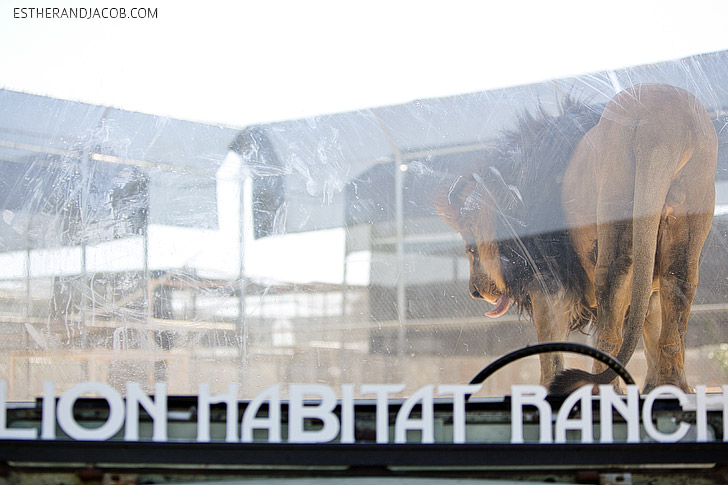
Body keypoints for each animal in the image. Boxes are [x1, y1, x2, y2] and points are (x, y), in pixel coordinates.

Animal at [437, 84, 717, 393]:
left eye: (471, 250)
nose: (475, 292)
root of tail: (662, 125)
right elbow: (653, 329)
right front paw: (654, 386)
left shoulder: (547, 278)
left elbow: (550, 347)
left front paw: (548, 387)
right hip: (689, 212)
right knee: (678, 292)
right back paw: (673, 385)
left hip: (615, 201)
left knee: (613, 294)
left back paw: (606, 389)